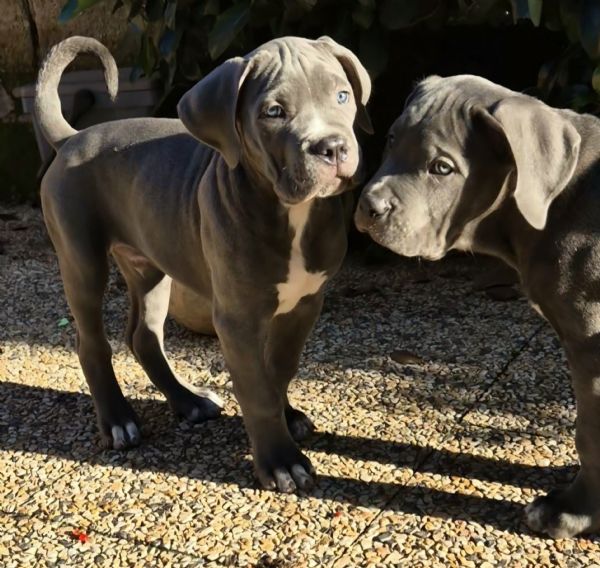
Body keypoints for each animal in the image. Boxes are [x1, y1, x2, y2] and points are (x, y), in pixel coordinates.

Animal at [37, 34, 370, 492]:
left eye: (342, 96)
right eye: (273, 112)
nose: (332, 147)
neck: (292, 213)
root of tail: (72, 138)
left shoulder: (304, 304)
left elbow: (278, 369)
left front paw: (287, 418)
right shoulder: (238, 317)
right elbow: (256, 389)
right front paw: (280, 462)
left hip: (151, 265)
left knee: (143, 336)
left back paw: (188, 402)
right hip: (81, 259)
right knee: (91, 343)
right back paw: (119, 421)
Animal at [356, 74, 600, 536]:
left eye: (442, 168)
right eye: (392, 139)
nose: (366, 207)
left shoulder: (591, 345)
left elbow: (589, 432)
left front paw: (573, 513)